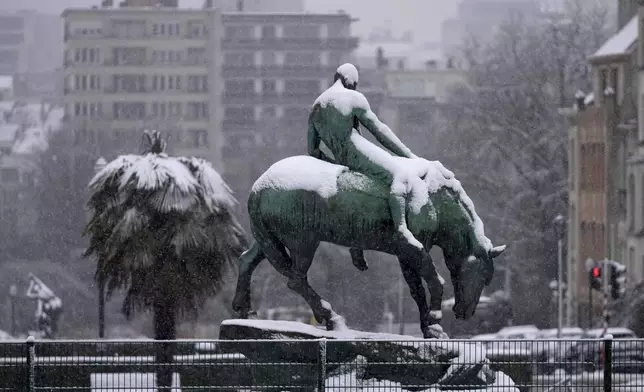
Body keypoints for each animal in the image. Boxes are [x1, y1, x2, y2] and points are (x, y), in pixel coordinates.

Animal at [233, 155, 508, 338]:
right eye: (482, 276)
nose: (465, 312)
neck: (436, 201)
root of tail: (259, 188)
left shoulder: (406, 255)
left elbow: (417, 290)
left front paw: (428, 327)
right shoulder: (415, 250)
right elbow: (435, 281)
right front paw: (435, 320)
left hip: (269, 240)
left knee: (246, 260)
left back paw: (242, 309)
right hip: (303, 242)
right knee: (296, 280)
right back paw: (332, 318)